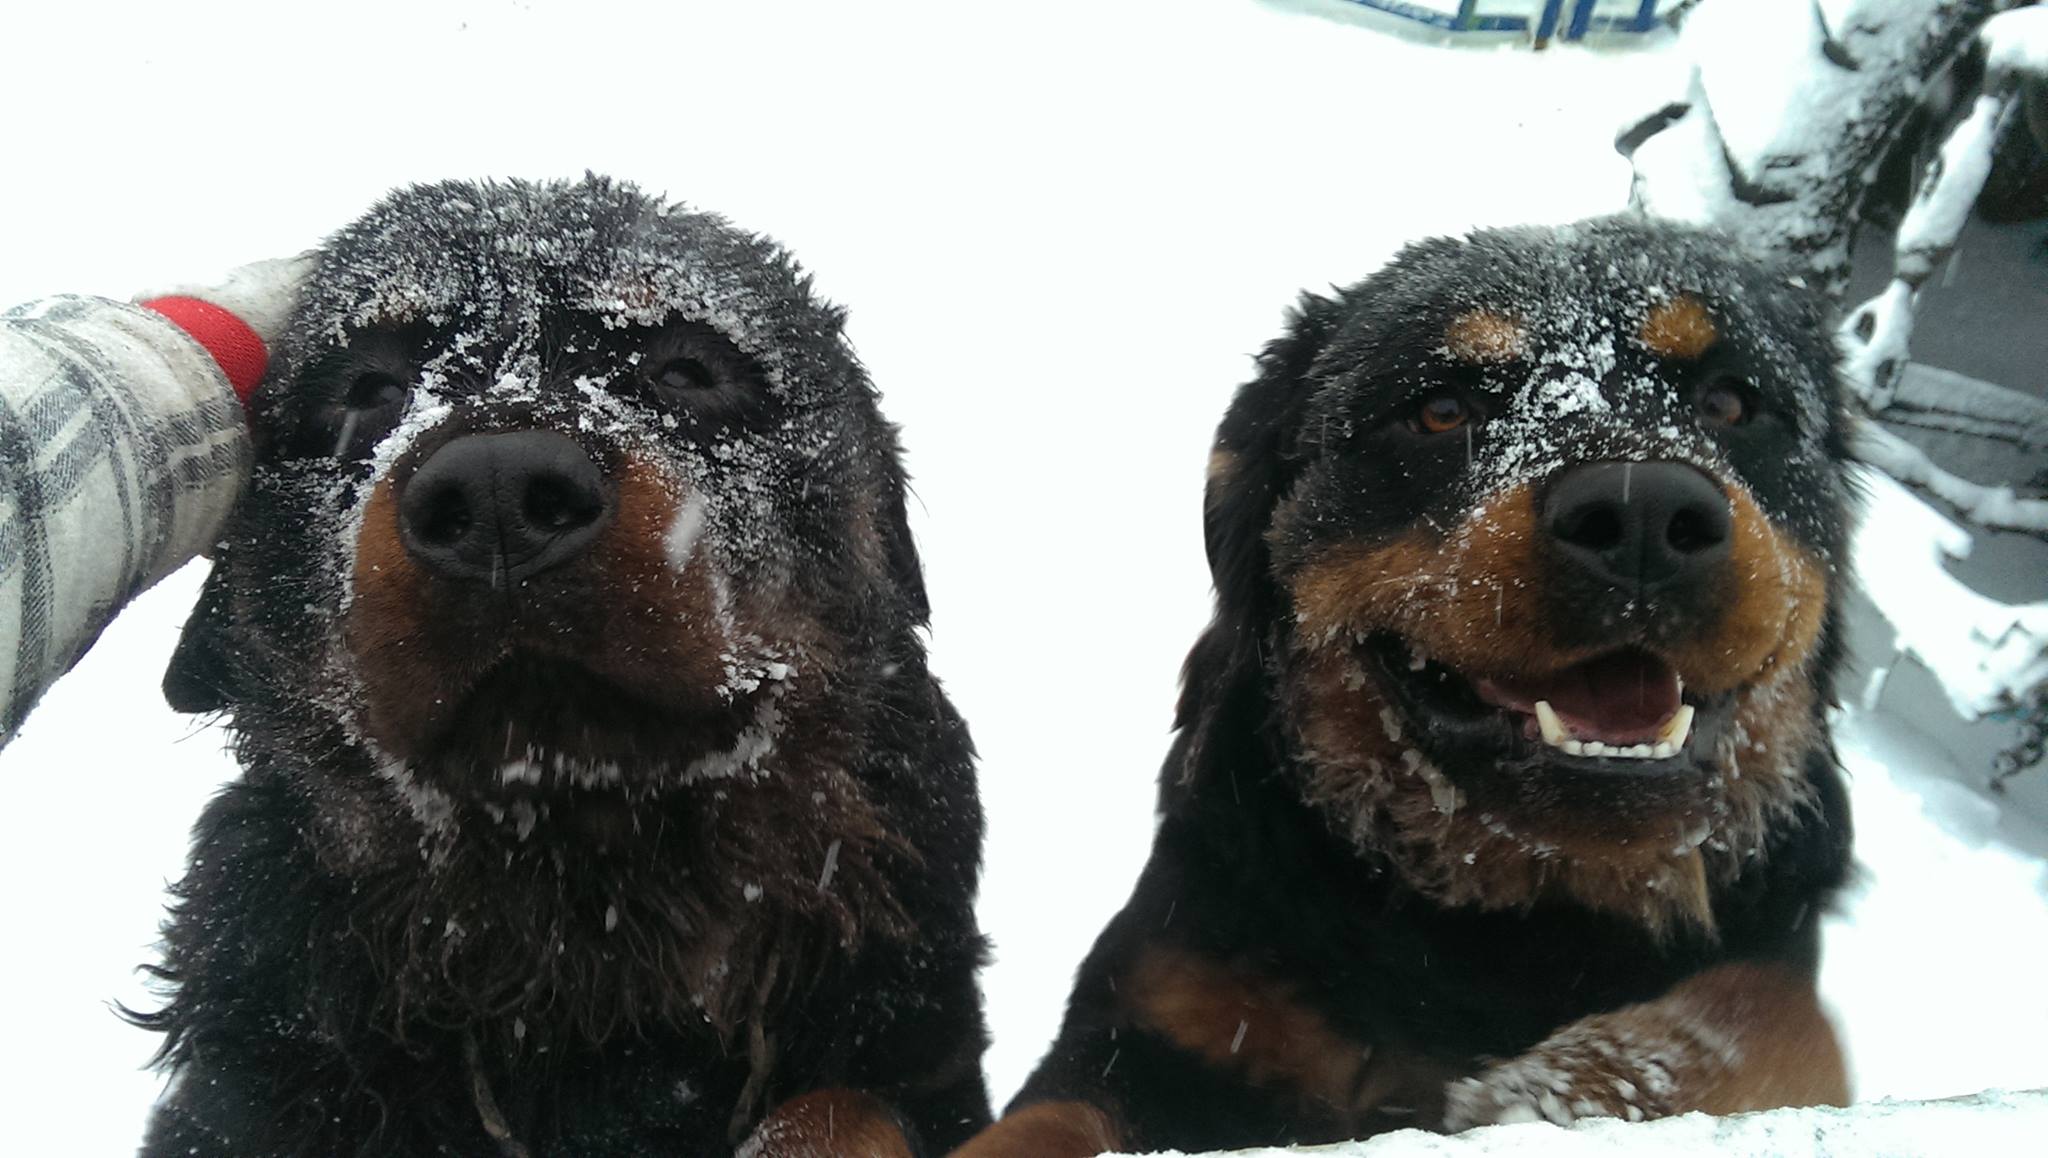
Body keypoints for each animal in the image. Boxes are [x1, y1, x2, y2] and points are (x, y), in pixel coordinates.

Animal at [958, 217, 1859, 1155]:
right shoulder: (1157, 1010)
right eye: (1440, 410)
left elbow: (1785, 1017)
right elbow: (1043, 1123)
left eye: (1731, 403)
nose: (1640, 512)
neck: (1497, 924)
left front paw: (1578, 1081)